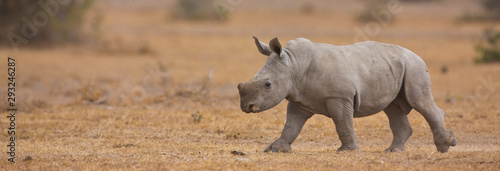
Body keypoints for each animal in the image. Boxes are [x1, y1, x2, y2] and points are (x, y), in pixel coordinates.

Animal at [238, 37, 458, 152]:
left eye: (268, 85)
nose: (247, 107)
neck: (293, 64)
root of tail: (415, 54)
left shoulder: (339, 97)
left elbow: (342, 123)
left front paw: (347, 151)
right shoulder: (299, 99)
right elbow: (291, 126)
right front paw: (276, 149)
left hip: (414, 67)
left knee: (420, 102)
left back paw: (445, 146)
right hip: (396, 67)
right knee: (393, 108)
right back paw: (393, 151)